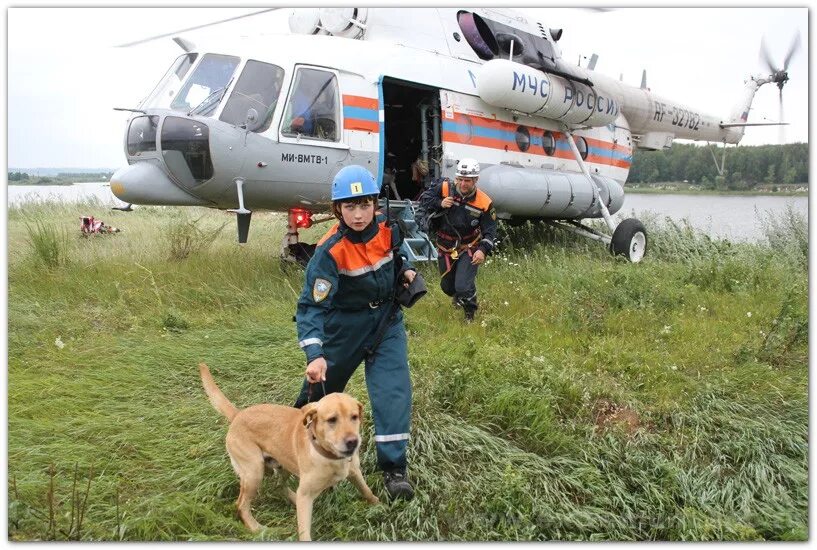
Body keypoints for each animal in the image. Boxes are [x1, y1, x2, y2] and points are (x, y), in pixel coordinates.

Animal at [198, 364, 380, 540]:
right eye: (332, 420)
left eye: (354, 417)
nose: (353, 442)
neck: (329, 456)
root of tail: (238, 415)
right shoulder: (307, 493)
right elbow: (304, 532)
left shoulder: (355, 473)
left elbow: (367, 491)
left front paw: (379, 505)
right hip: (254, 472)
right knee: (241, 504)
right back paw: (255, 527)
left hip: (282, 466)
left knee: (279, 487)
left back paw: (292, 498)